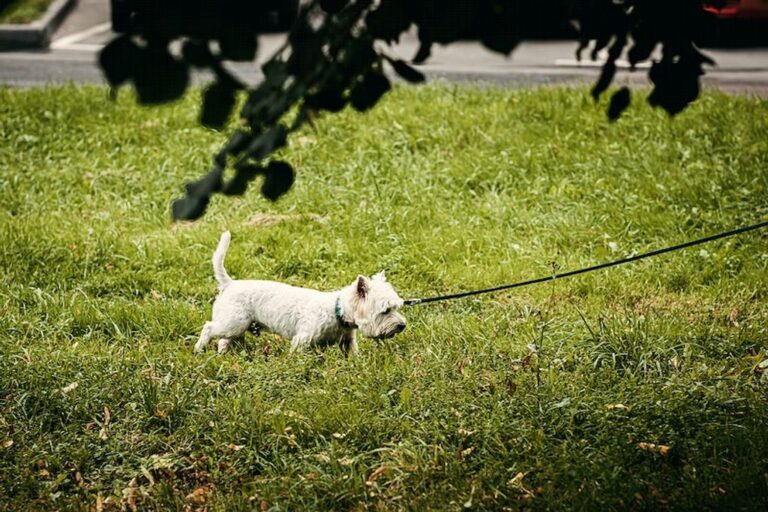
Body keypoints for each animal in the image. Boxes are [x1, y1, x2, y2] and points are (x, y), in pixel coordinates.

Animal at [194, 233, 408, 356]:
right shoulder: (302, 340)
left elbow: (353, 356)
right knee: (208, 328)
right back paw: (198, 350)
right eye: (385, 311)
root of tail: (230, 284)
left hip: (236, 326)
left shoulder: (347, 342)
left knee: (223, 339)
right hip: (233, 322)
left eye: (396, 307)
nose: (403, 325)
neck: (338, 312)